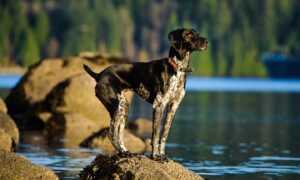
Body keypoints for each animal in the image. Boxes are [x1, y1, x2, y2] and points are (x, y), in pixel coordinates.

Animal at [83, 28, 207, 160]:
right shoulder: (158, 106)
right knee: (112, 134)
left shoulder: (173, 107)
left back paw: (125, 152)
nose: (206, 41)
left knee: (119, 134)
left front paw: (162, 155)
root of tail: (99, 74)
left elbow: (164, 135)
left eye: (197, 34)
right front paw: (155, 156)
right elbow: (155, 135)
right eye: (189, 35)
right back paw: (123, 152)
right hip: (116, 107)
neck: (177, 68)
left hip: (124, 107)